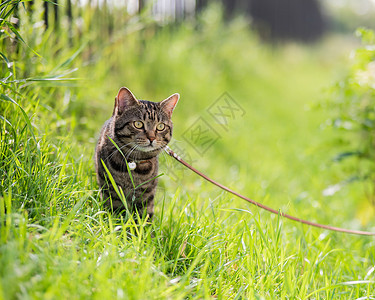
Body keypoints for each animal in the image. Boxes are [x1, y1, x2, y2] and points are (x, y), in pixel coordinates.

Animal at [95, 85, 181, 219]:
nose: (151, 138)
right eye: (138, 124)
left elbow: (144, 216)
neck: (134, 164)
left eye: (160, 126)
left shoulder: (147, 194)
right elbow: (115, 210)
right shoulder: (111, 187)